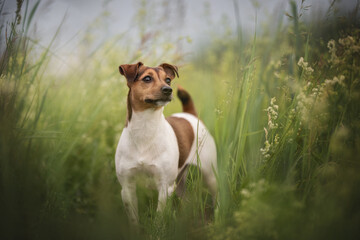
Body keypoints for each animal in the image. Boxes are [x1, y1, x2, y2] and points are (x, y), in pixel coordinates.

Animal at [115, 62, 217, 225]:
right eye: (147, 78)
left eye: (168, 80)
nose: (168, 89)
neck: (145, 129)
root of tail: (190, 115)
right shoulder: (127, 188)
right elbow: (134, 220)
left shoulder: (165, 187)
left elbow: (159, 218)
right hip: (180, 180)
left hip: (210, 174)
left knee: (216, 195)